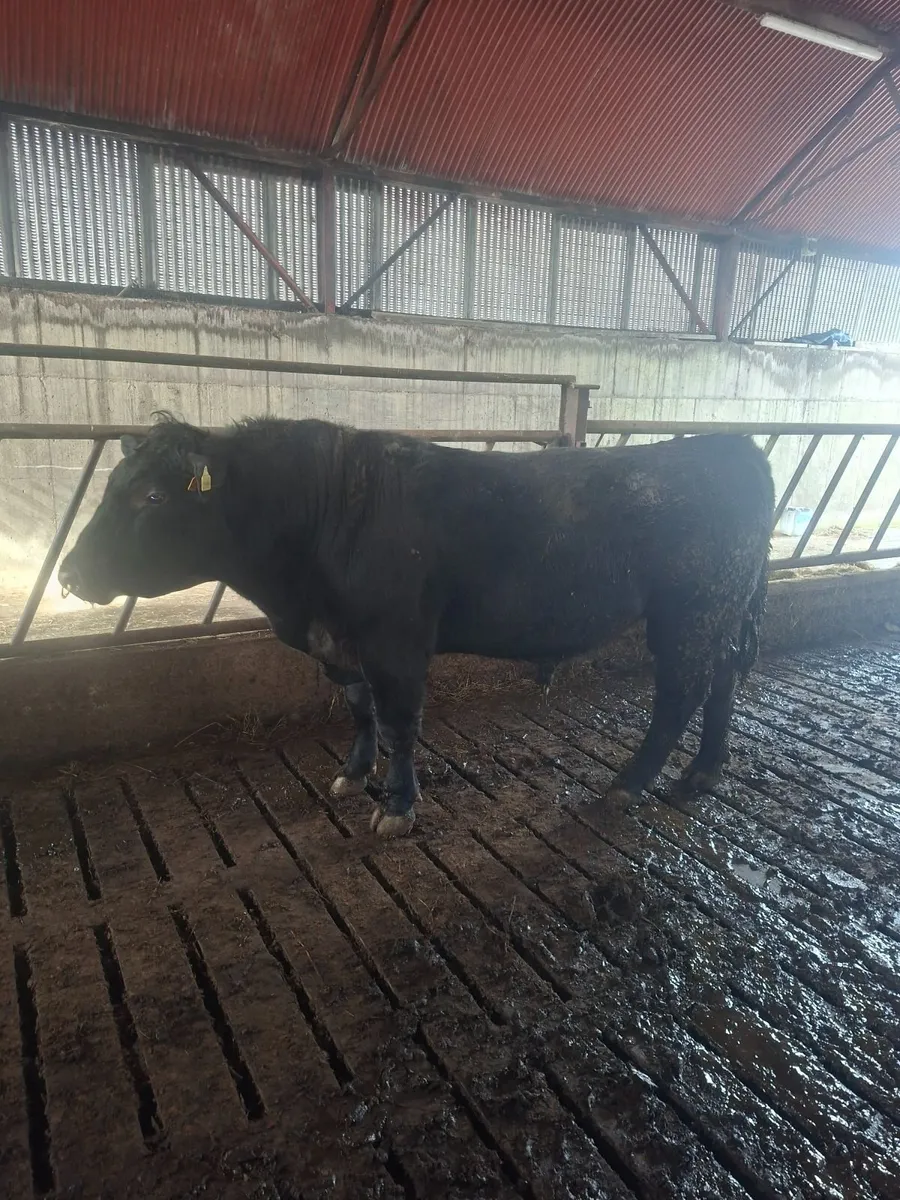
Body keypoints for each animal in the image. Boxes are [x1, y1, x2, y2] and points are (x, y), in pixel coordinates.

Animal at [58, 416, 774, 838]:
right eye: (110, 487)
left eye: (152, 496)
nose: (68, 573)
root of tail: (731, 444)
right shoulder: (341, 644)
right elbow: (359, 711)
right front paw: (353, 775)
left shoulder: (395, 640)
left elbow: (401, 722)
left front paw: (398, 805)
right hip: (720, 613)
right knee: (722, 684)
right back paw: (703, 773)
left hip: (691, 609)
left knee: (682, 693)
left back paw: (628, 785)